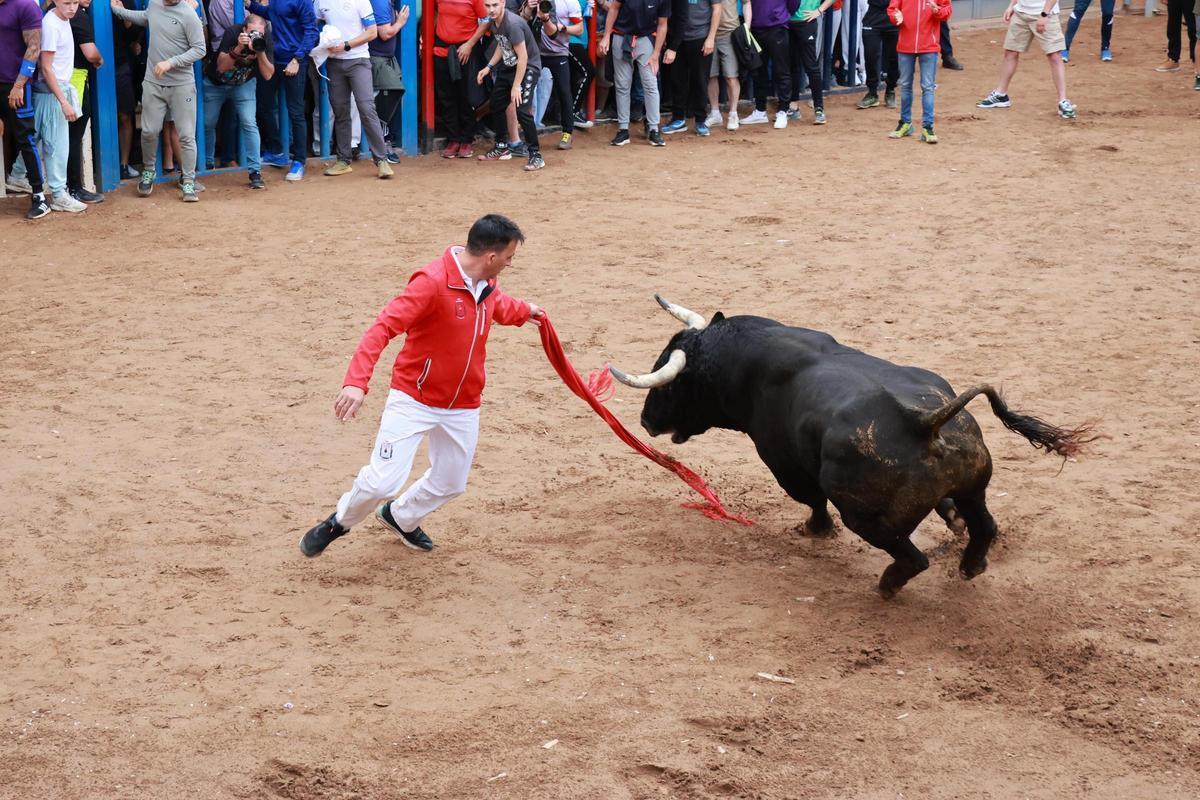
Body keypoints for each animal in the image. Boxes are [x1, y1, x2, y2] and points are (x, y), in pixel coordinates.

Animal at [609, 297, 1099, 597]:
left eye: (673, 384)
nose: (645, 420)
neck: (748, 359)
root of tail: (923, 424)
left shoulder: (781, 462)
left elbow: (810, 499)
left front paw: (815, 530)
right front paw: (951, 521)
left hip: (869, 519)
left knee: (912, 556)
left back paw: (888, 584)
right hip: (973, 485)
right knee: (984, 525)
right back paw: (970, 563)